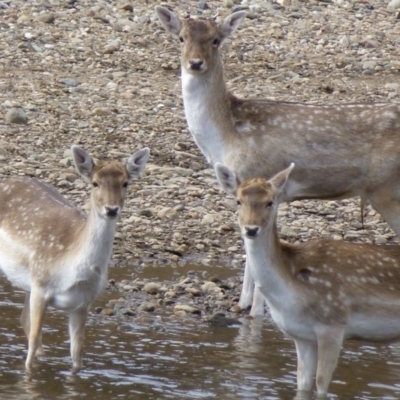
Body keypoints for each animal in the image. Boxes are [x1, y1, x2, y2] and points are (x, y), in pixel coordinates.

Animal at [0, 145, 149, 370]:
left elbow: (77, 353)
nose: (112, 209)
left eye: (125, 183)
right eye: (95, 182)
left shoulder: (82, 303)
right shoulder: (41, 285)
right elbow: (33, 342)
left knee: (24, 319)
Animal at [155, 5, 400, 316]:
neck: (226, 137)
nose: (195, 63)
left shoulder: (263, 174)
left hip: (386, 189)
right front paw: (242, 304)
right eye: (181, 38)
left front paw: (256, 311)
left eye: (215, 40)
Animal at [216, 161, 400, 398]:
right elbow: (302, 384)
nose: (251, 229)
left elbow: (321, 385)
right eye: (238, 200)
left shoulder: (333, 324)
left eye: (270, 202)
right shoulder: (302, 336)